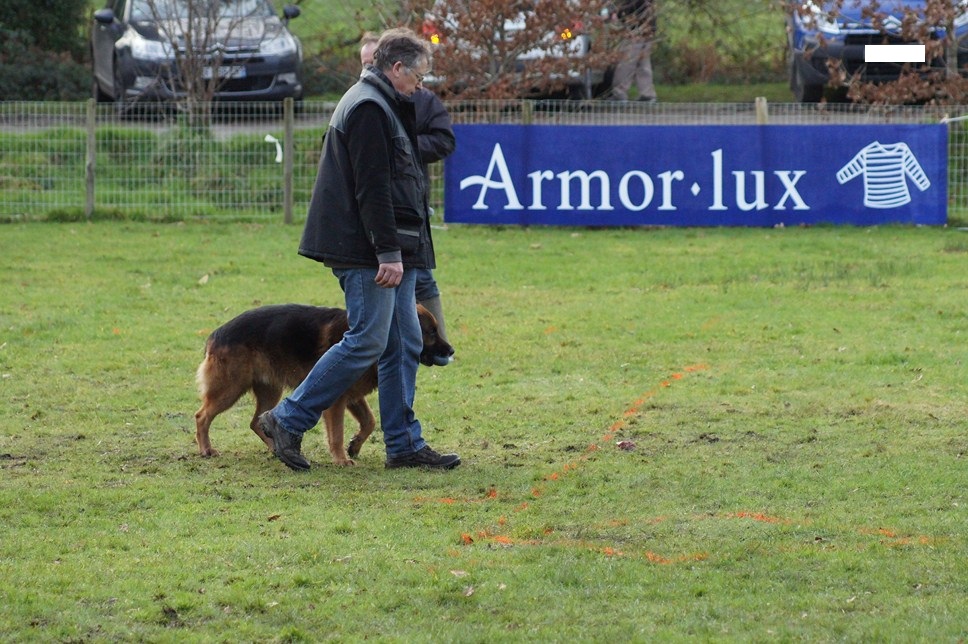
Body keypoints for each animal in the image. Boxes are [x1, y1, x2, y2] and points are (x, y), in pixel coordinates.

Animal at [195, 304, 456, 466]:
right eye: (431, 332)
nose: (452, 351)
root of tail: (216, 334)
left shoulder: (352, 396)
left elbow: (370, 421)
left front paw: (355, 445)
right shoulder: (337, 400)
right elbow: (337, 433)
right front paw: (341, 459)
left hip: (270, 390)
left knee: (256, 421)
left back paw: (277, 447)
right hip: (230, 389)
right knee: (202, 416)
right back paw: (206, 449)